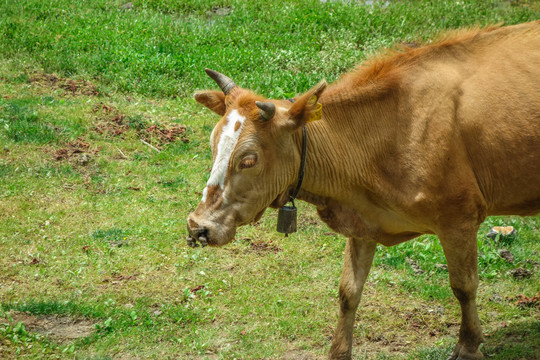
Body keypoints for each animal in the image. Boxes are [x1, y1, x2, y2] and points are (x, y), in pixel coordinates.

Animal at [187, 21, 540, 358]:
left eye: (249, 159)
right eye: (213, 143)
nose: (198, 226)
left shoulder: (459, 217)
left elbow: (464, 286)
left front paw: (468, 345)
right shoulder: (362, 221)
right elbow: (348, 291)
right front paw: (339, 351)